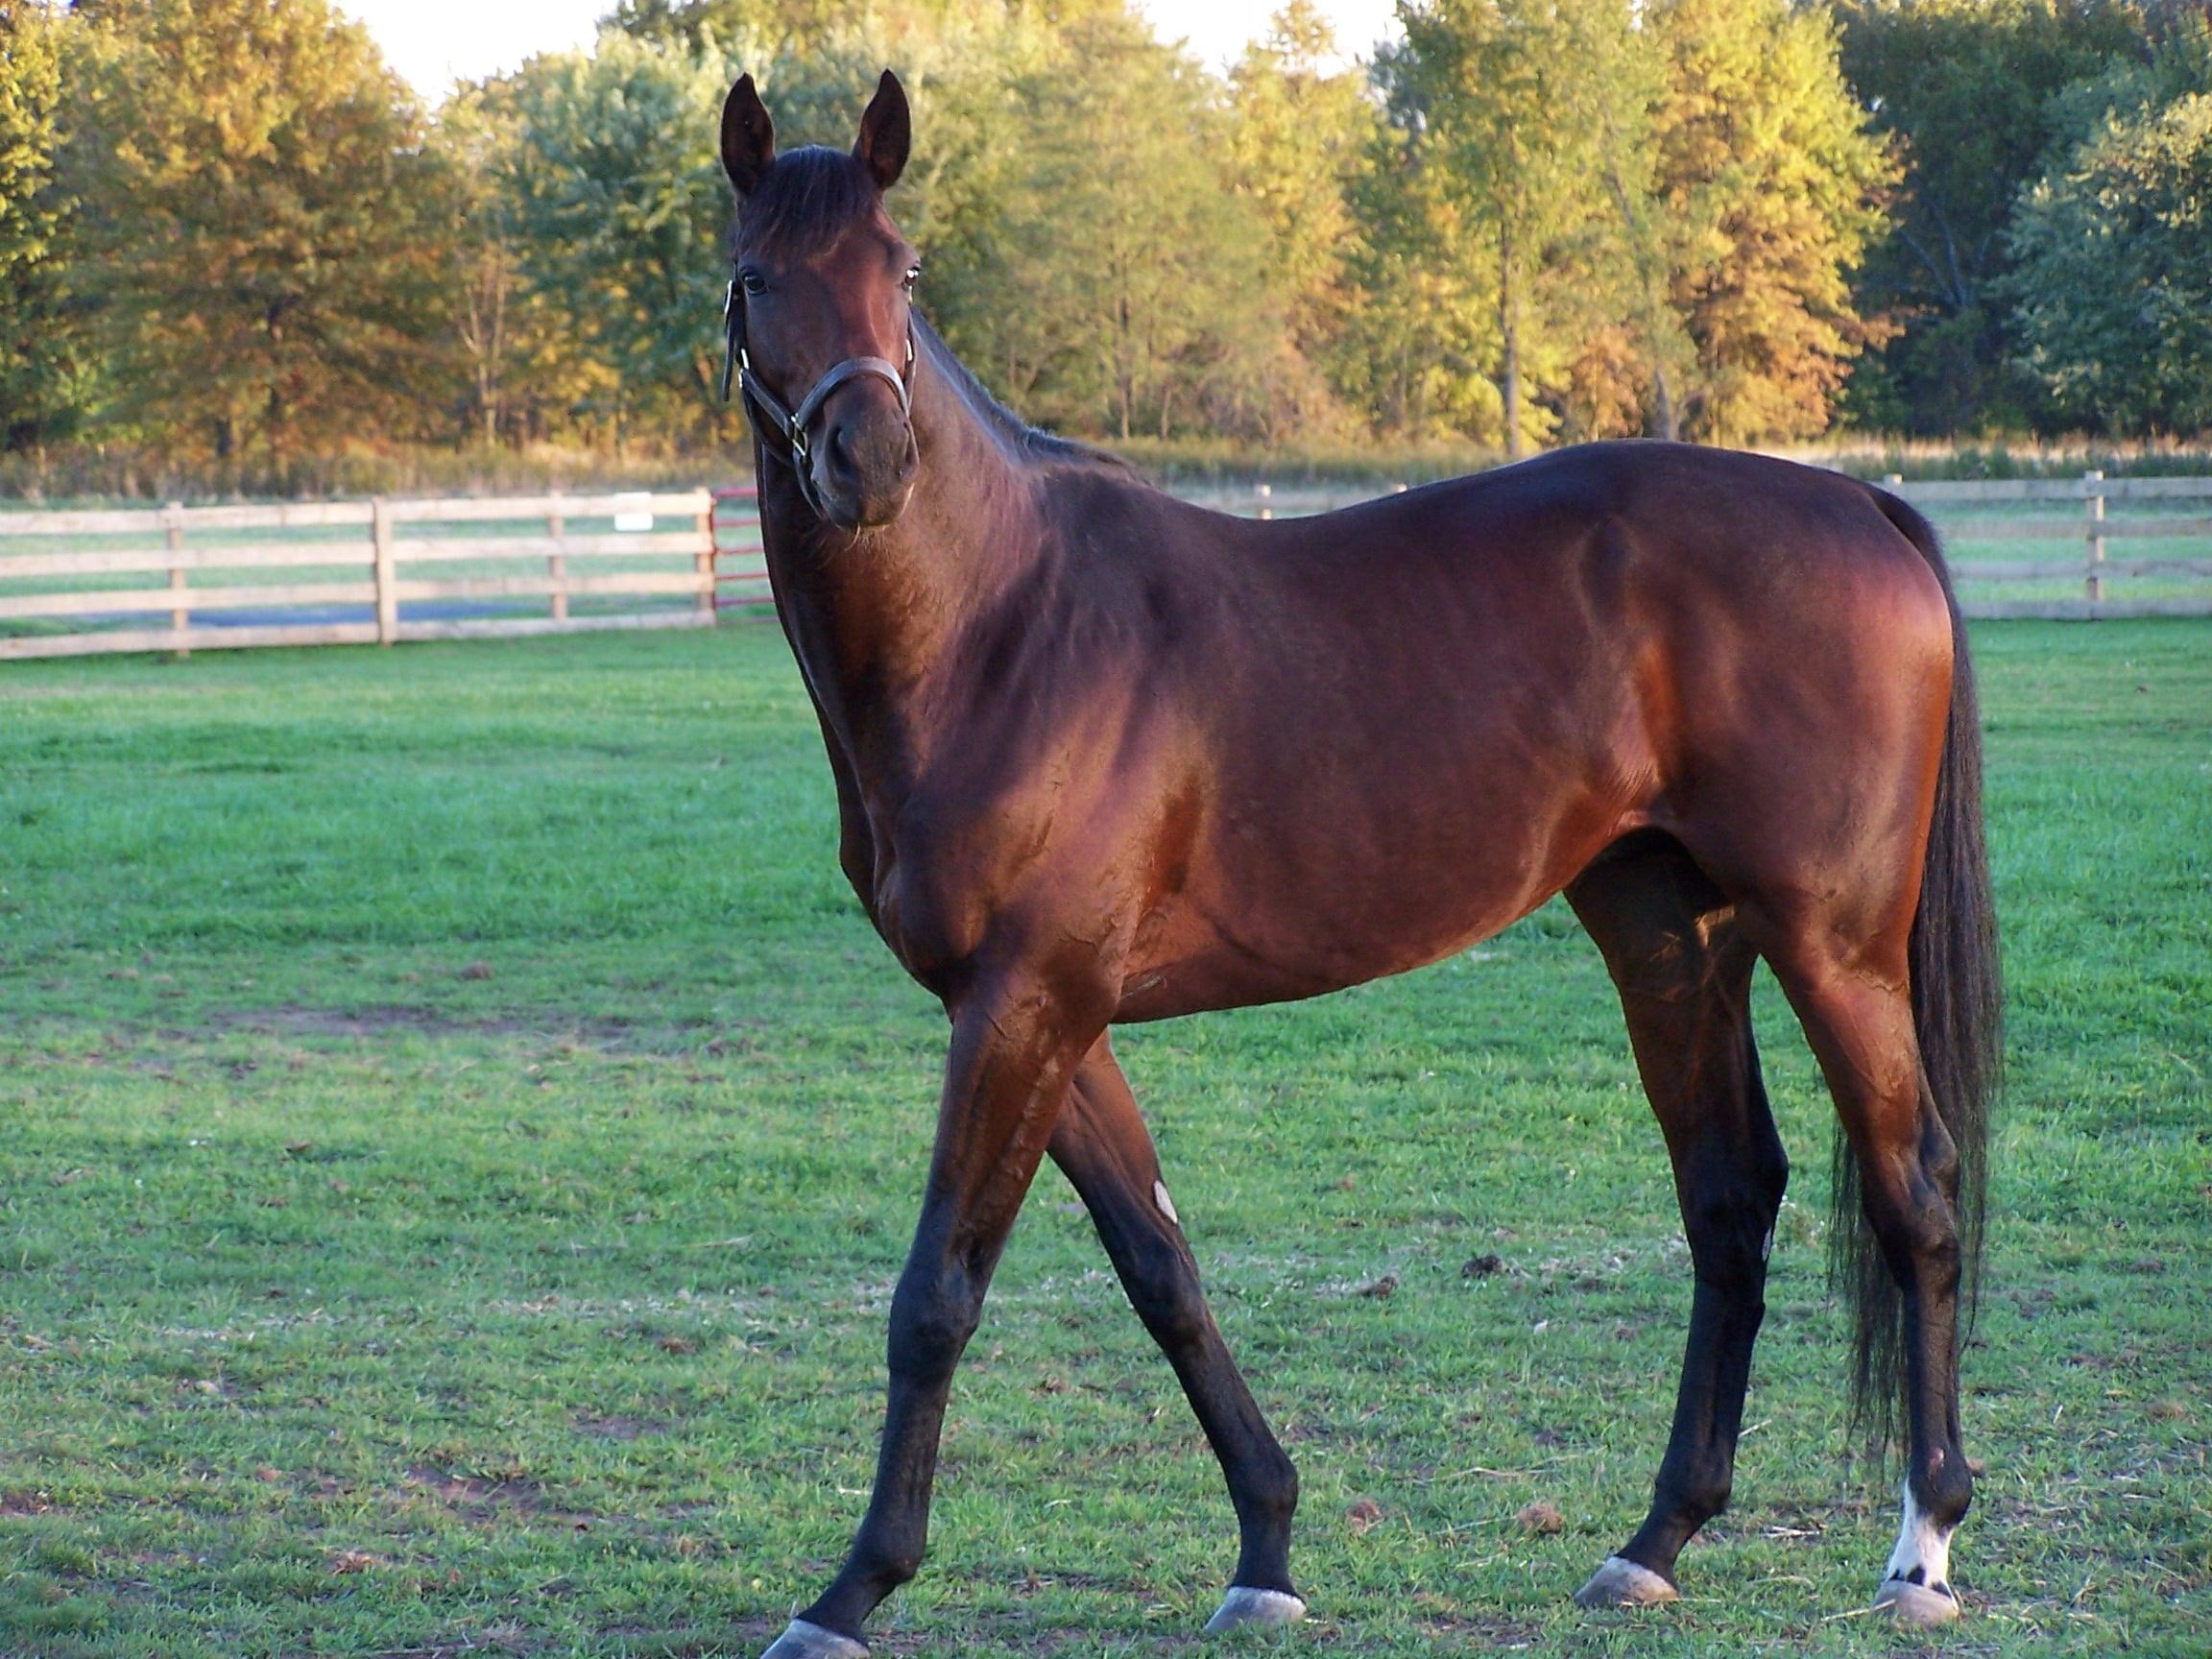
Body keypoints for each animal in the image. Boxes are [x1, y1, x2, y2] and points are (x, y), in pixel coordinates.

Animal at [714, 70, 2000, 1659]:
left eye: (899, 272)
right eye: (756, 281)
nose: (870, 463)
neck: (1001, 623)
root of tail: (1859, 506)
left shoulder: (1023, 1005)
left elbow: (936, 1296)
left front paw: (852, 1588)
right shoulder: (1049, 1017)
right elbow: (1163, 1270)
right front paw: (1266, 1543)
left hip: (1837, 946)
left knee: (1915, 1193)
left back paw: (1923, 1544)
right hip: (1668, 933)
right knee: (1729, 1197)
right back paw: (1655, 1541)